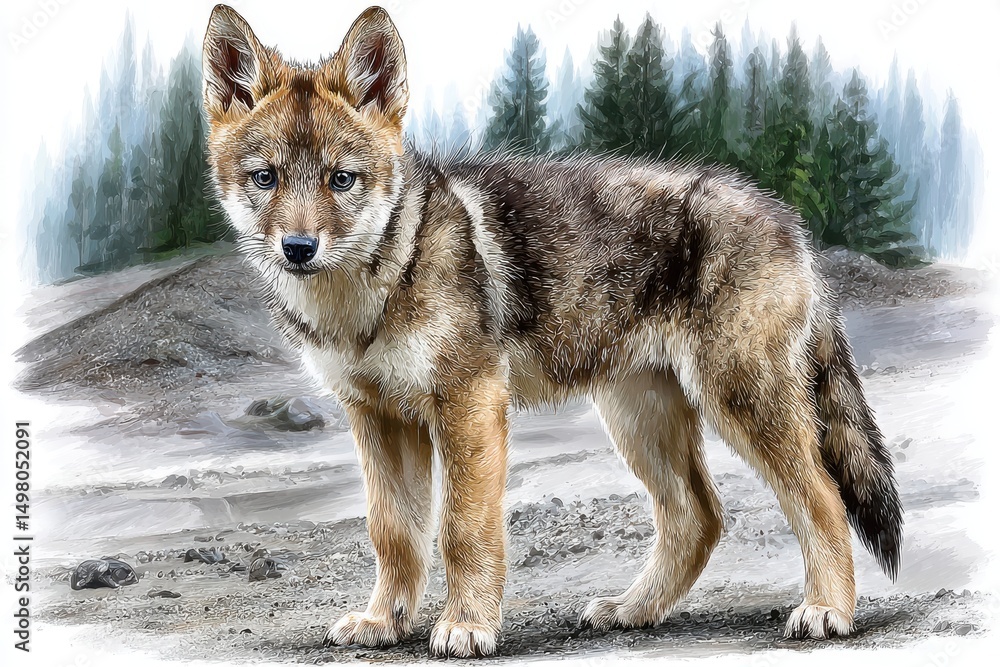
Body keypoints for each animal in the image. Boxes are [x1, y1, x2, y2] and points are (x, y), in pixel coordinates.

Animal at [202, 4, 902, 658]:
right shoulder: (377, 418)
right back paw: (632, 610)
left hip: (739, 405)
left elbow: (464, 529)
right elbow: (393, 534)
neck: (372, 292)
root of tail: (788, 219)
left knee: (821, 498)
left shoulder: (470, 404)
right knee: (698, 518)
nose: (298, 248)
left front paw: (467, 626)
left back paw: (827, 611)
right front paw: (384, 623)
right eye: (266, 178)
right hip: (639, 421)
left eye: (340, 180)